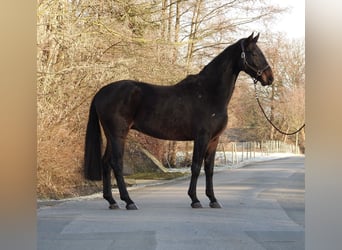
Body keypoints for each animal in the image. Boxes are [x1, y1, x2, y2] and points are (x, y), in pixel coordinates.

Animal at [83, 32, 272, 209]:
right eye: (254, 53)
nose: (270, 78)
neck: (208, 93)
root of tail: (101, 92)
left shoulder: (214, 140)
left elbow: (209, 169)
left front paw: (213, 199)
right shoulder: (201, 137)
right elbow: (196, 166)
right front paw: (195, 199)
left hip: (111, 135)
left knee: (106, 163)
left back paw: (112, 201)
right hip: (118, 134)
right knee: (116, 163)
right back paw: (129, 202)